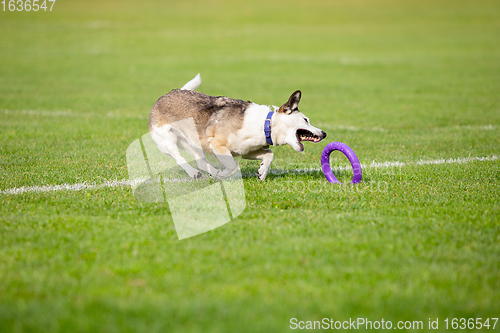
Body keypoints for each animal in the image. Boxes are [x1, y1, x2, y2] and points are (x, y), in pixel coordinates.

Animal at [147, 74, 328, 180]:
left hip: (194, 142)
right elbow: (233, 165)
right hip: (167, 140)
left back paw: (211, 172)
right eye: (306, 120)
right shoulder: (217, 144)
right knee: (179, 158)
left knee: (200, 162)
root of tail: (166, 95)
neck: (264, 125)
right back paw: (195, 173)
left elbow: (269, 154)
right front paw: (224, 174)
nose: (324, 133)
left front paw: (262, 172)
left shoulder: (247, 151)